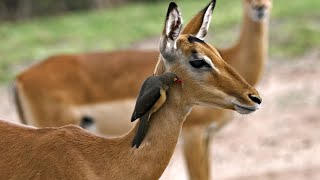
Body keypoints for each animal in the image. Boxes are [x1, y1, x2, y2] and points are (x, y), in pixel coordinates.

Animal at [1, 1, 262, 179]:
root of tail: (19, 78)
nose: (254, 98)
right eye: (198, 60)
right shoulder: (196, 135)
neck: (96, 161)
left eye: (217, 53)